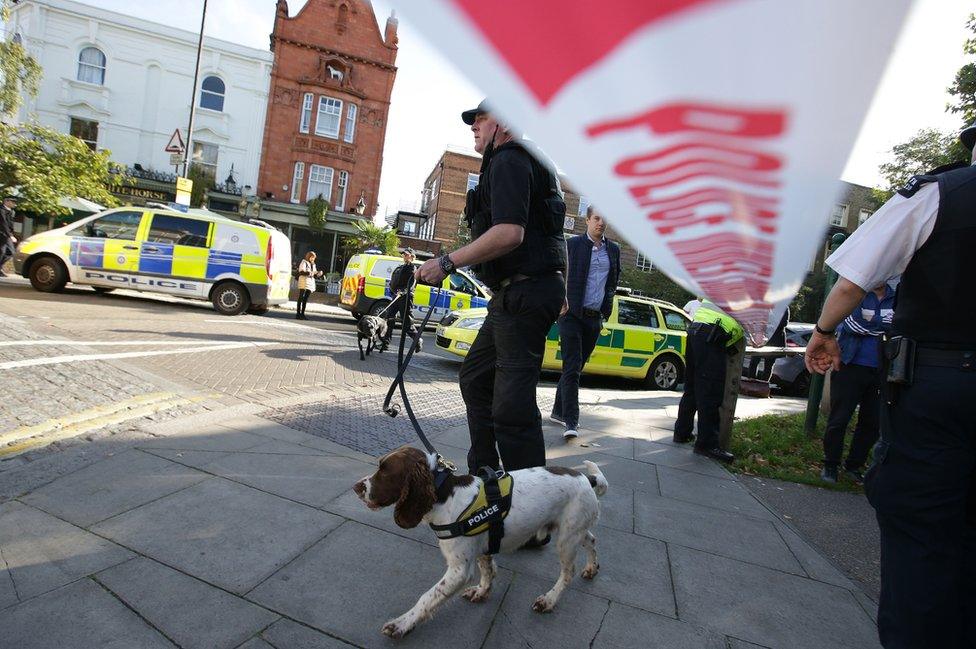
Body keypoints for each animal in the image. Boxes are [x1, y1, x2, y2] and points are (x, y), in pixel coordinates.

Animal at [350, 446, 608, 636]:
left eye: (385, 471)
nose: (355, 487)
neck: (444, 495)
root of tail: (587, 477)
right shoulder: (483, 547)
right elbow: (487, 570)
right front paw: (482, 592)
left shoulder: (459, 570)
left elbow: (428, 597)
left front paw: (402, 623)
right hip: (574, 529)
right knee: (592, 540)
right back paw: (591, 568)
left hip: (566, 538)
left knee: (567, 572)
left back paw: (549, 600)